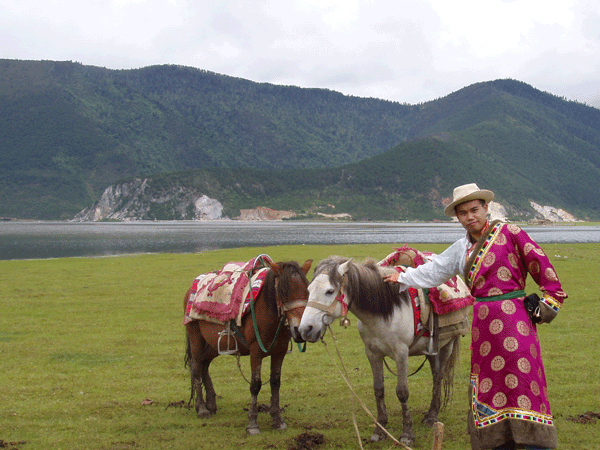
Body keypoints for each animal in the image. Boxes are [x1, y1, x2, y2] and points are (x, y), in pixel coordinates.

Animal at [183, 258, 312, 434]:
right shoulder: (255, 350)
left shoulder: (280, 351)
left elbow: (275, 383)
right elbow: (255, 385)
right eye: (283, 293)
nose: (299, 330)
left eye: (307, 292)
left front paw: (278, 420)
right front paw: (252, 423)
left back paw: (211, 404)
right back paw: (202, 409)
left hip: (212, 344)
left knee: (204, 364)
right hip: (195, 336)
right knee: (196, 366)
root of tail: (191, 289)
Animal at [300, 256, 464, 446]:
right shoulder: (372, 354)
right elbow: (378, 389)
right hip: (431, 349)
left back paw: (431, 417)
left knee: (438, 377)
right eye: (309, 289)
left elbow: (402, 392)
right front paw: (380, 429)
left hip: (447, 344)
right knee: (435, 373)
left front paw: (407, 434)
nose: (305, 329)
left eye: (329, 291)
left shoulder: (401, 354)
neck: (383, 313)